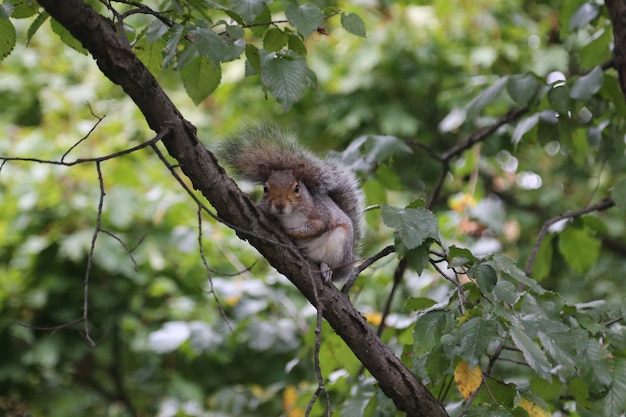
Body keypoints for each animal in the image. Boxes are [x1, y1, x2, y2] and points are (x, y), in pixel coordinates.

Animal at [219, 123, 364, 280]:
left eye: (297, 188)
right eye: (265, 189)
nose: (280, 205)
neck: (289, 214)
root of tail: (349, 261)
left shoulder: (320, 214)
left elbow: (315, 227)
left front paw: (288, 230)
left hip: (339, 246)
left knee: (333, 266)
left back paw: (326, 268)